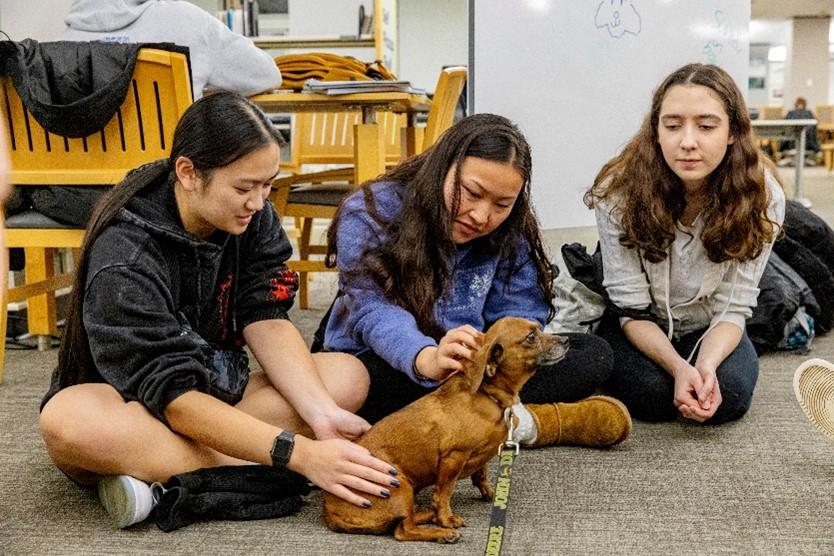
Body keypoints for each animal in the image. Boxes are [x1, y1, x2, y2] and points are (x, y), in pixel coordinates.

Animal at [322, 318, 568, 544]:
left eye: (539, 328)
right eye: (531, 337)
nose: (566, 340)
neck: (487, 395)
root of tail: (329, 510)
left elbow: (481, 474)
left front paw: (489, 491)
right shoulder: (453, 459)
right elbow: (444, 494)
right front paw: (446, 519)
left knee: (407, 520)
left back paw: (427, 514)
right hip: (399, 485)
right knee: (403, 530)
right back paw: (442, 532)